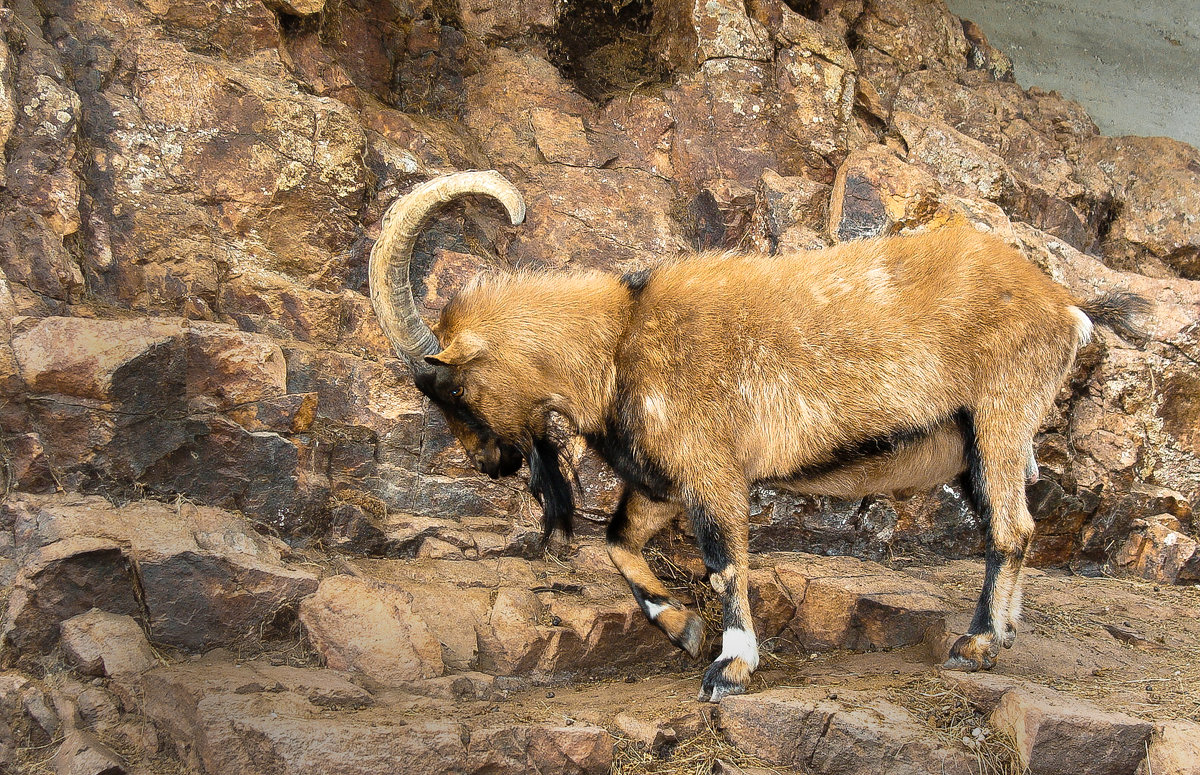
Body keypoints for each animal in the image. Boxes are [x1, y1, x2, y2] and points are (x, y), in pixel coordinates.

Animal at [369, 170, 1147, 705]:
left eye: (448, 389)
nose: (488, 462)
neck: (619, 340)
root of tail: (1066, 311)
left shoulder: (711, 468)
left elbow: (723, 560)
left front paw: (730, 665)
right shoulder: (661, 481)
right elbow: (619, 540)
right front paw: (681, 627)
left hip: (1000, 412)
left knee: (1012, 528)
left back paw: (978, 643)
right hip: (980, 447)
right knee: (1007, 525)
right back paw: (1003, 633)